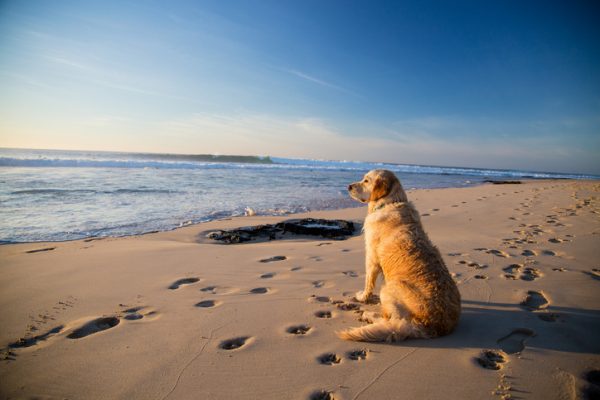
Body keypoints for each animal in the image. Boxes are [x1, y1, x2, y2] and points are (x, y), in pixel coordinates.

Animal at [338, 170, 460, 342]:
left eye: (366, 181)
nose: (348, 186)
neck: (390, 202)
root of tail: (432, 326)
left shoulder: (371, 257)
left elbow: (368, 282)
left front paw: (362, 297)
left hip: (387, 289)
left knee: (391, 320)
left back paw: (369, 315)